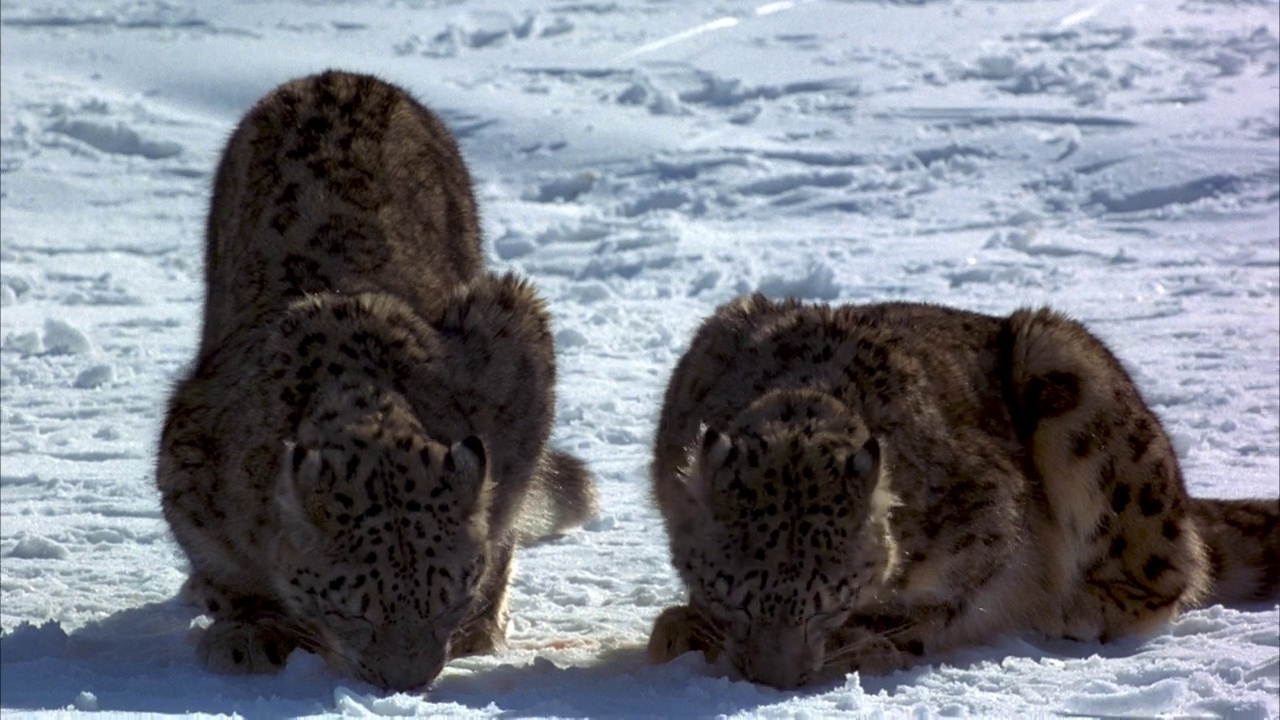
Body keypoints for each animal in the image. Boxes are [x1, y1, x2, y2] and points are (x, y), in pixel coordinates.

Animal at [157, 71, 596, 691]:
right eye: (352, 609)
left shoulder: (516, 354)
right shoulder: (186, 456)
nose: (406, 680)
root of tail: (336, 75)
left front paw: (480, 627)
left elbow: (503, 519)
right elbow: (226, 567)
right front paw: (249, 630)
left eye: (449, 598)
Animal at [650, 293, 1280, 691]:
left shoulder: (992, 523)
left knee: (1170, 568)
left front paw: (866, 644)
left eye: (830, 601)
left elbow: (937, 606)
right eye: (733, 595)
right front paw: (684, 625)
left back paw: (1080, 606)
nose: (775, 681)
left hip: (1082, 397)